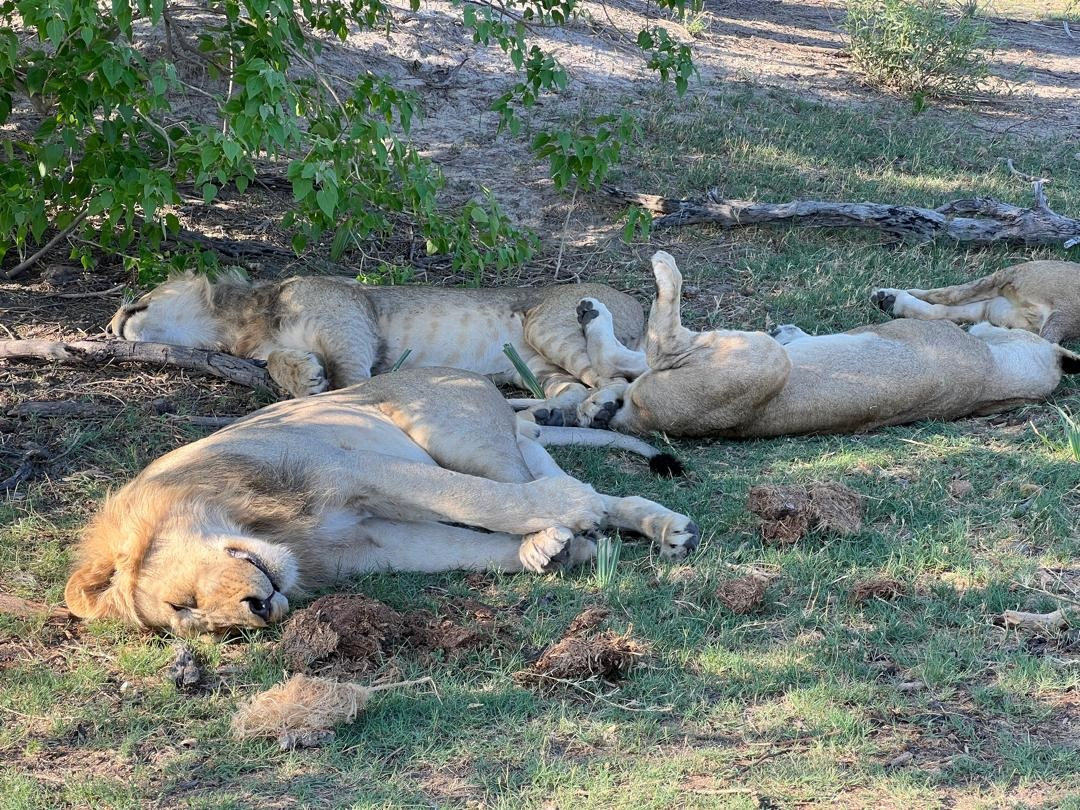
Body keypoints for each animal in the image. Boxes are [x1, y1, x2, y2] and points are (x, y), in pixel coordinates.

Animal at [64, 367, 699, 634]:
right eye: (196, 622)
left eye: (184, 601)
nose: (260, 611)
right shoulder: (368, 543)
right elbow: (457, 545)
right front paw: (546, 552)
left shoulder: (348, 466)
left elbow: (469, 498)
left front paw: (562, 530)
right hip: (505, 447)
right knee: (589, 490)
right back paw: (641, 530)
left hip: (457, 434)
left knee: (526, 483)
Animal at [107, 272, 645, 424]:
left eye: (140, 301)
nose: (112, 324)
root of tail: (636, 300)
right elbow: (278, 363)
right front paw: (304, 377)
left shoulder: (353, 323)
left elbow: (350, 377)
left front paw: (344, 399)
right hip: (534, 364)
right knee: (572, 387)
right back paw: (549, 414)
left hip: (545, 324)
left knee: (615, 375)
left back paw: (600, 407)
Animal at [870, 260, 1080, 344]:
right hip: (998, 306)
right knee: (942, 310)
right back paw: (888, 300)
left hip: (1008, 276)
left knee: (945, 296)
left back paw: (888, 297)